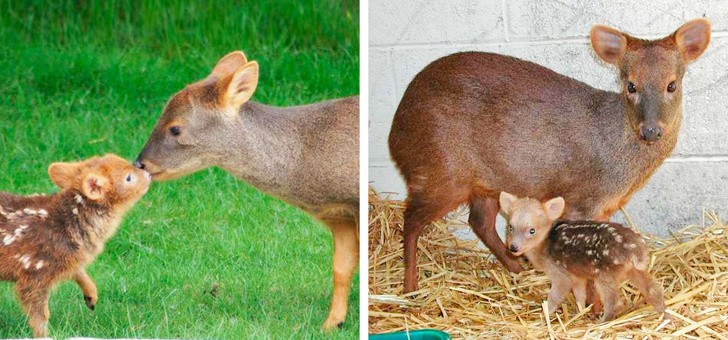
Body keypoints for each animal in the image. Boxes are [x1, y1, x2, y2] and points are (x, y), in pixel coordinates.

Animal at [386, 19, 712, 292]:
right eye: (630, 85)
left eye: (672, 84)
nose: (651, 130)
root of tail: (395, 134)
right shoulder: (581, 202)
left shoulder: (604, 208)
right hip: (441, 172)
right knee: (410, 219)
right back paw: (410, 287)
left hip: (485, 182)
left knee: (479, 222)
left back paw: (516, 269)